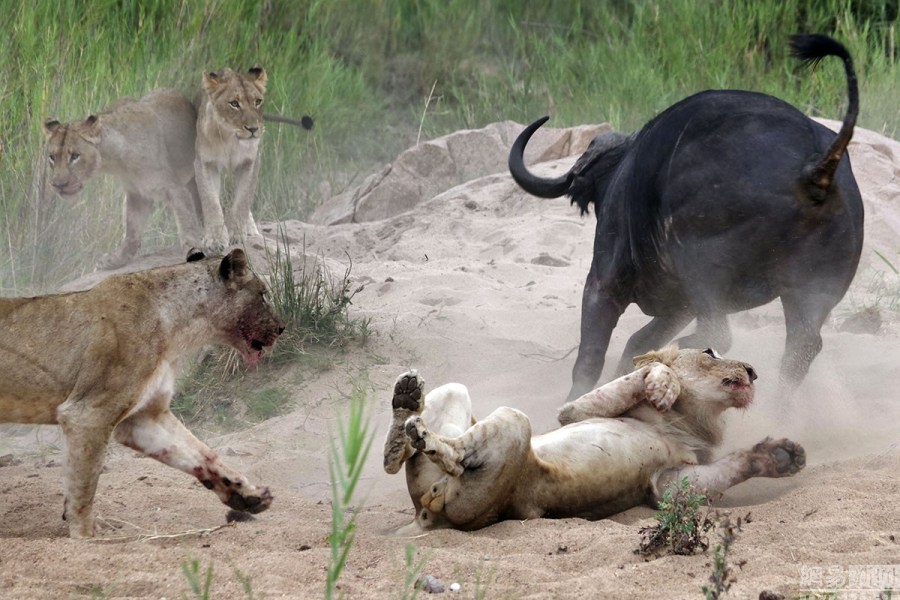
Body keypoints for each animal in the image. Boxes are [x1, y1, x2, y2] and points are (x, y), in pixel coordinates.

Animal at [0, 246, 284, 536]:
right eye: (263, 293)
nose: (281, 327)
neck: (178, 327)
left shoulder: (143, 416)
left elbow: (200, 452)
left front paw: (248, 496)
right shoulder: (88, 413)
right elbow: (83, 487)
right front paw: (86, 535)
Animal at [44, 87, 202, 270]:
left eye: (75, 156)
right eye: (52, 157)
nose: (58, 184)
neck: (116, 161)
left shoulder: (174, 189)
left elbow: (186, 222)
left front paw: (193, 250)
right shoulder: (136, 195)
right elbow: (132, 231)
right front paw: (116, 259)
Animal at [384, 344, 804, 532]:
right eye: (710, 352)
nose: (753, 370)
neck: (688, 420)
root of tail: (427, 515)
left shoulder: (666, 483)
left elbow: (723, 470)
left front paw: (781, 457)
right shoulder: (574, 411)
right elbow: (645, 369)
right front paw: (662, 383)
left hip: (501, 443)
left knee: (450, 455)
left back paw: (422, 432)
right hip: (472, 408)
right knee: (410, 452)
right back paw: (407, 406)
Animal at [510, 31, 860, 398]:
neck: (626, 172)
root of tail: (814, 167)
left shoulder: (603, 282)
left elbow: (590, 358)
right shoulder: (678, 306)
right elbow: (637, 340)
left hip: (702, 267)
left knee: (719, 333)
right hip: (811, 292)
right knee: (799, 354)